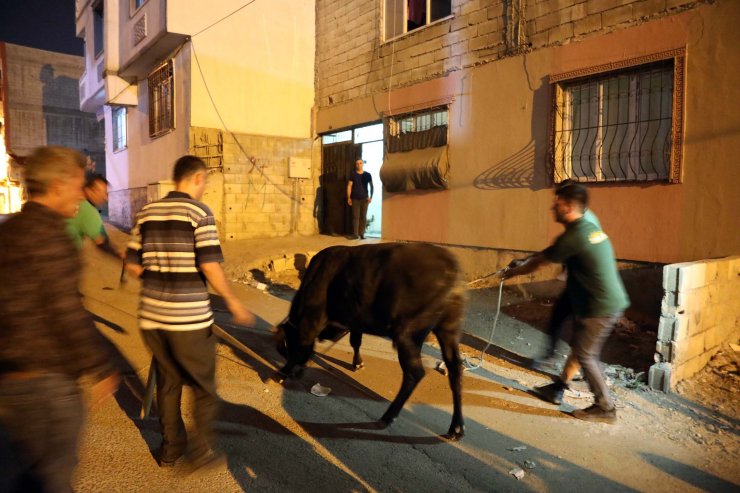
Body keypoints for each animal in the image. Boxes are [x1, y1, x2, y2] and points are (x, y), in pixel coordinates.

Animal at [274, 242, 466, 438]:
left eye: (288, 345)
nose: (293, 371)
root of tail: (450, 265)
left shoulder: (312, 319)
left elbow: (304, 343)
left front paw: (283, 372)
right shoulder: (355, 322)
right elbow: (355, 341)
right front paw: (357, 363)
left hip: (408, 334)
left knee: (415, 373)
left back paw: (388, 417)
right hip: (448, 330)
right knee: (455, 369)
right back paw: (456, 427)